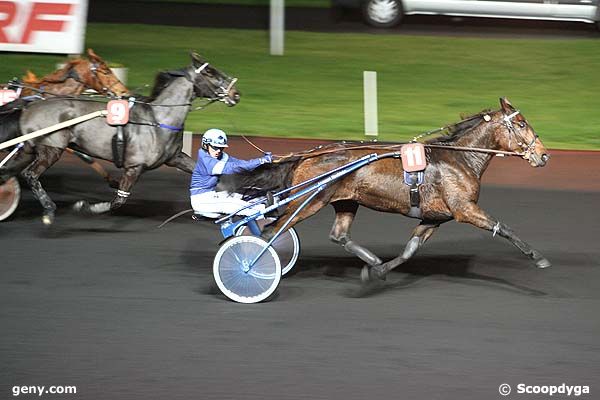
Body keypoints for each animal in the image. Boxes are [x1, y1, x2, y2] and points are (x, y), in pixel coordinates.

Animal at [218, 98, 552, 282]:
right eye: (522, 124)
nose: (544, 154)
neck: (459, 158)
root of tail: (309, 154)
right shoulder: (465, 209)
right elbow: (503, 227)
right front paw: (538, 257)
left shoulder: (434, 217)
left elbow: (409, 250)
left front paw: (377, 272)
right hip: (310, 201)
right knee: (271, 229)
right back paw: (249, 264)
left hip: (345, 201)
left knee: (337, 235)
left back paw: (371, 260)